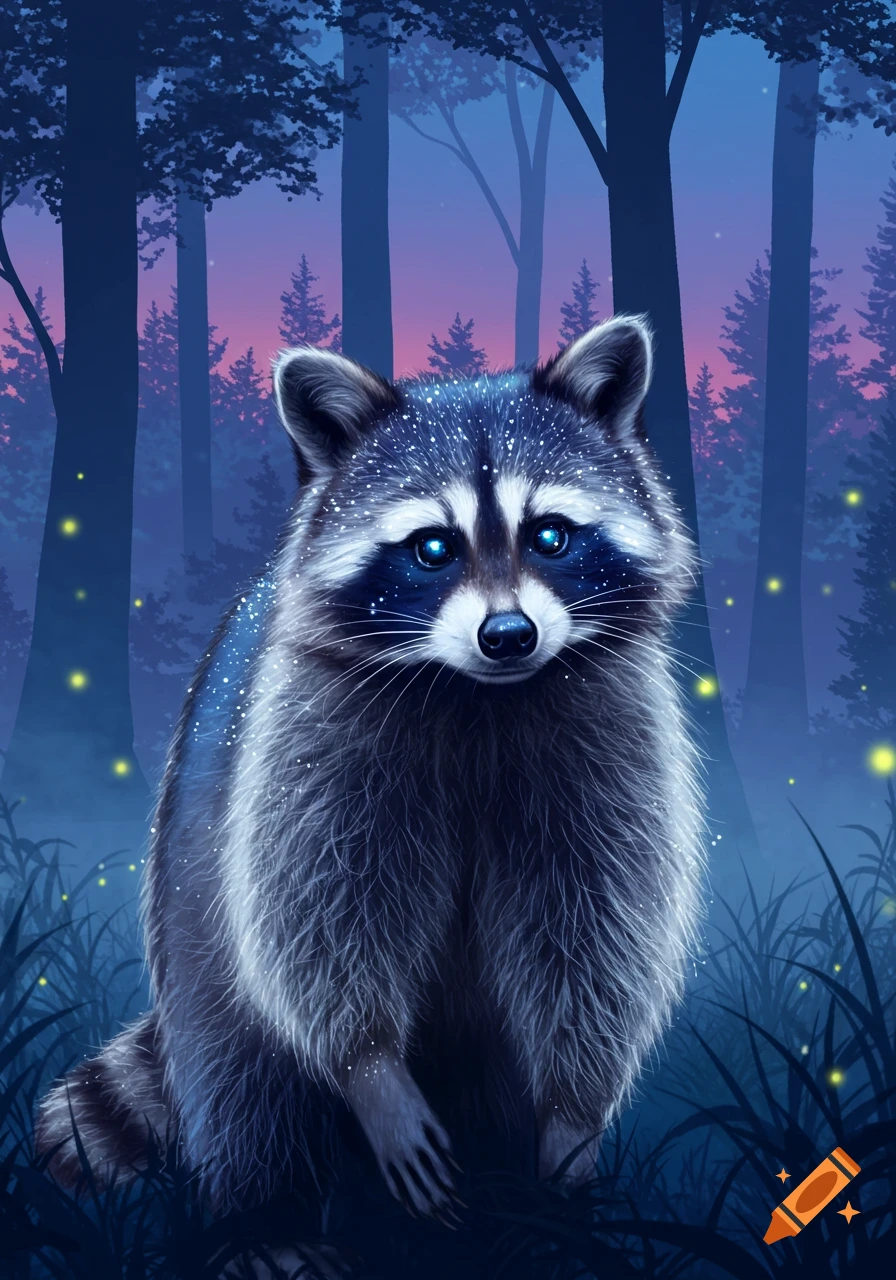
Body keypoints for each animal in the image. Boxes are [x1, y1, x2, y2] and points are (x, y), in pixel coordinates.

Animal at [36, 316, 705, 1243]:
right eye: (433, 547)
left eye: (550, 535)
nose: (509, 635)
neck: (478, 694)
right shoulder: (309, 735)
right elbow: (316, 917)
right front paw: (371, 1069)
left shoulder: (613, 732)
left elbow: (598, 926)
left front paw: (572, 1115)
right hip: (193, 911)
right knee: (239, 1064)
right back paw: (265, 1216)